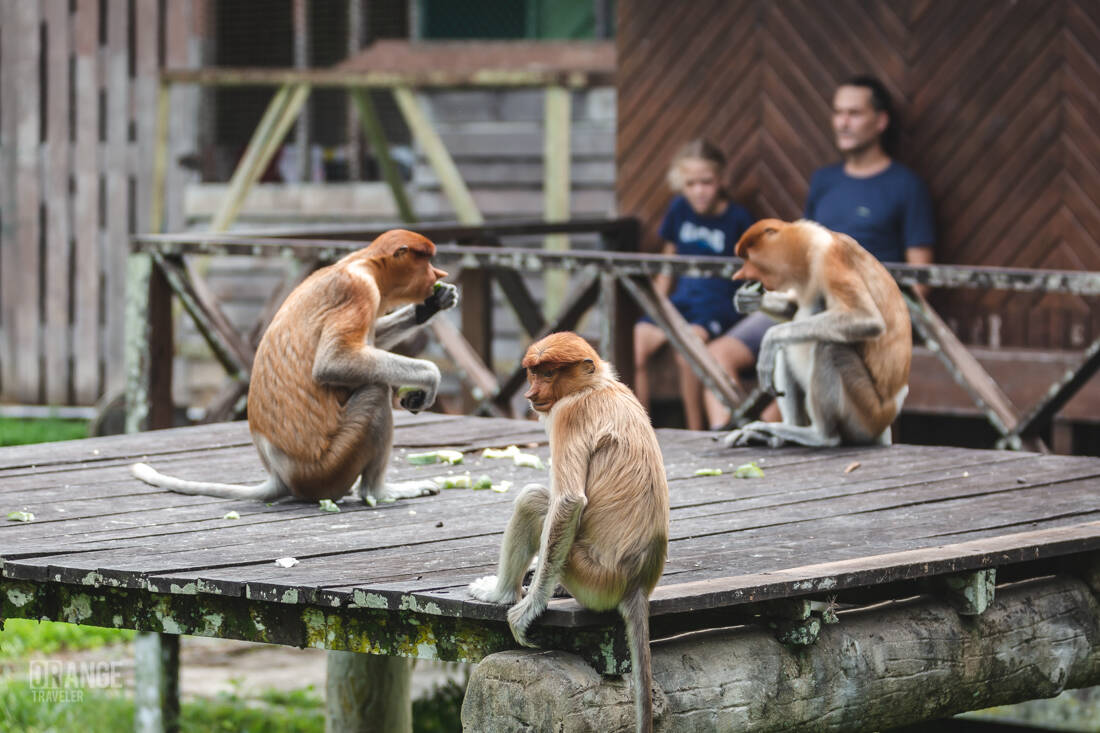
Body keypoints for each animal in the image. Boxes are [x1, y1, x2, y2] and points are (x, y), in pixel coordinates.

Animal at [131, 228, 458, 504]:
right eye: (426, 261)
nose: (438, 274)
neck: (363, 263)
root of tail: (280, 475)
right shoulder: (358, 291)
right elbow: (333, 362)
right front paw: (430, 378)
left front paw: (433, 304)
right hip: (331, 466)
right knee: (375, 392)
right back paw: (379, 491)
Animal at [468, 332, 669, 733]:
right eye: (533, 372)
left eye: (548, 373)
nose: (530, 393)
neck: (596, 385)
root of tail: (638, 583)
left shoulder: (568, 414)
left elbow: (568, 502)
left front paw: (526, 611)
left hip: (592, 577)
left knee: (533, 500)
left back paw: (501, 593)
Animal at [720, 218, 911, 448]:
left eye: (748, 258)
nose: (739, 275)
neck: (807, 246)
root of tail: (888, 415)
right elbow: (793, 309)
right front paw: (748, 299)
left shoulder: (829, 258)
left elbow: (867, 318)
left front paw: (770, 338)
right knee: (789, 345)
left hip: (867, 413)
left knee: (829, 347)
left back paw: (821, 436)